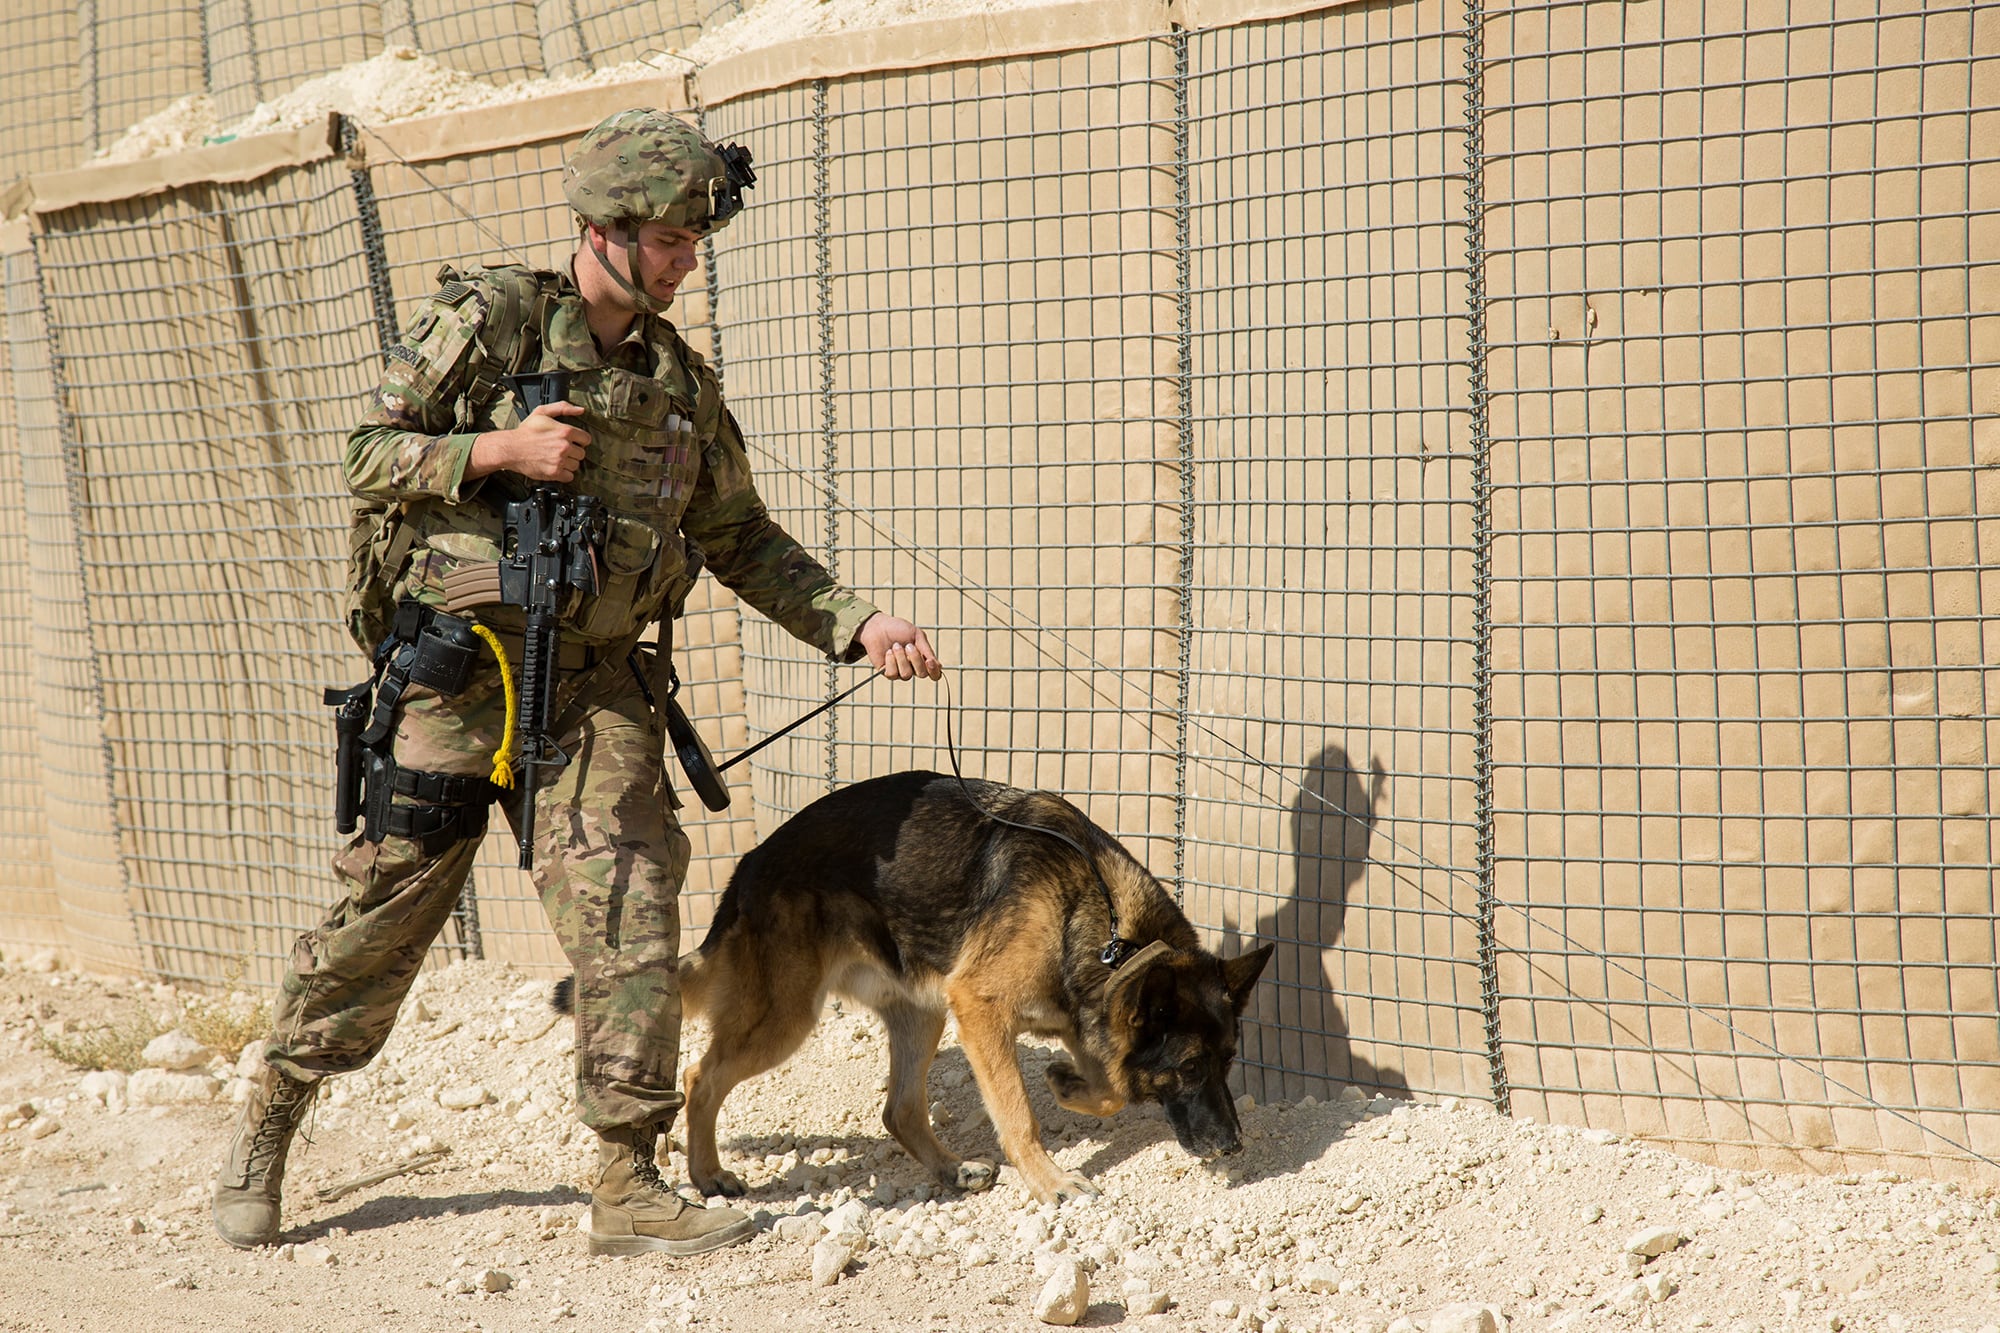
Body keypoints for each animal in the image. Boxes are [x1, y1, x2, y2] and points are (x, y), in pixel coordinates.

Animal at [656, 764, 1272, 1200]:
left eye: (1229, 1061)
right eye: (1189, 1067)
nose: (1234, 1146)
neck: (1109, 927)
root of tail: (749, 864)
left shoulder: (1080, 1016)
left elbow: (1112, 1090)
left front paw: (1068, 1085)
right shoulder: (981, 1009)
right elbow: (1018, 1113)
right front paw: (1051, 1182)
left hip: (922, 1013)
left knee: (900, 1110)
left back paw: (953, 1171)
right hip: (787, 1018)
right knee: (698, 1077)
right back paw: (708, 1175)